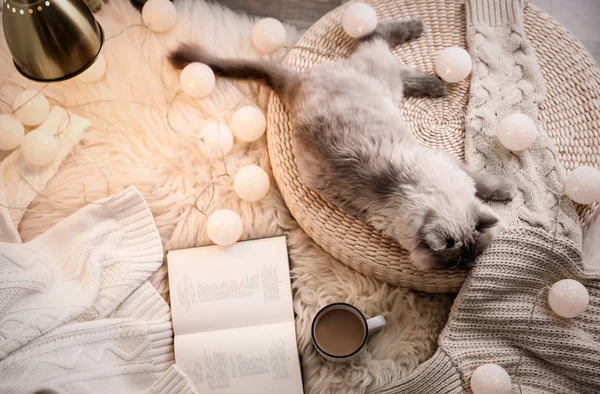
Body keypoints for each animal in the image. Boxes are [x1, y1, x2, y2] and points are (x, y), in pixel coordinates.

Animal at [168, 18, 516, 270]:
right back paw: (428, 62)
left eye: (474, 254)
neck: (412, 193)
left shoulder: (449, 165)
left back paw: (430, 68)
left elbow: (482, 181)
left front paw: (504, 191)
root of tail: (297, 83)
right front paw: (508, 191)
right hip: (384, 79)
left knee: (375, 40)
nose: (469, 267)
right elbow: (483, 180)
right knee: (375, 38)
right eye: (455, 262)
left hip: (384, 81)